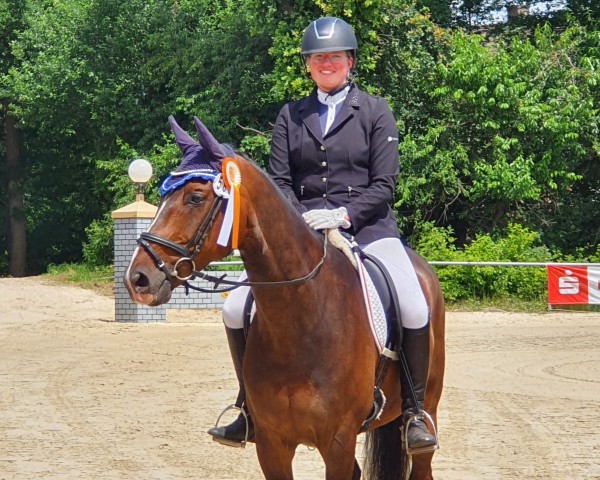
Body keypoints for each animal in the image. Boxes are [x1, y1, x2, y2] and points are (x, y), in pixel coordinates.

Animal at [124, 117, 446, 480]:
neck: (300, 319)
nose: (138, 279)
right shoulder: (271, 443)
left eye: (194, 197)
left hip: (426, 409)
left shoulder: (338, 441)